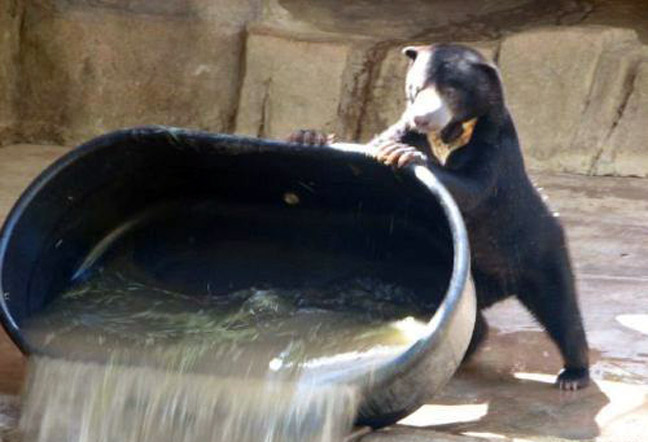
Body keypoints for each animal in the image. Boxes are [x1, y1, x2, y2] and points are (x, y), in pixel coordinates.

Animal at [286, 44, 588, 390]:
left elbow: (475, 186)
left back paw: (573, 374)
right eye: (416, 88)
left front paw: (404, 156)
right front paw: (308, 136)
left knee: (560, 308)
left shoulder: (494, 144)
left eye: (451, 90)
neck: (449, 134)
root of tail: (502, 286)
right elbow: (374, 143)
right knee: (472, 317)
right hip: (471, 276)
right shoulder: (408, 129)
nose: (423, 117)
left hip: (537, 248)